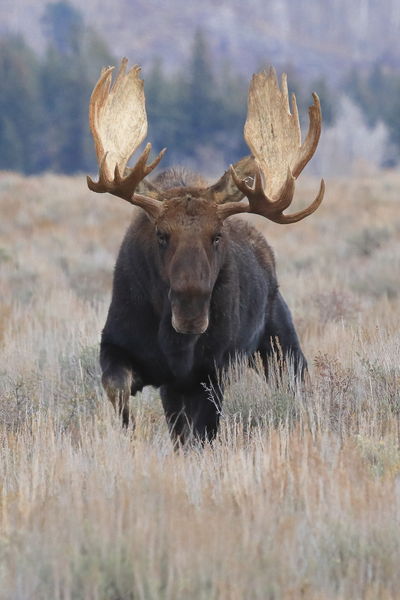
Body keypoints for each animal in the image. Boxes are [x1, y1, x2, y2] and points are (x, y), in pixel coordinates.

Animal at [87, 59, 324, 446]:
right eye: (161, 234)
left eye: (217, 236)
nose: (191, 311)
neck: (174, 345)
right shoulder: (119, 346)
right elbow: (118, 390)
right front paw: (129, 433)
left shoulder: (208, 373)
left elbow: (201, 434)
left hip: (280, 343)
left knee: (297, 384)